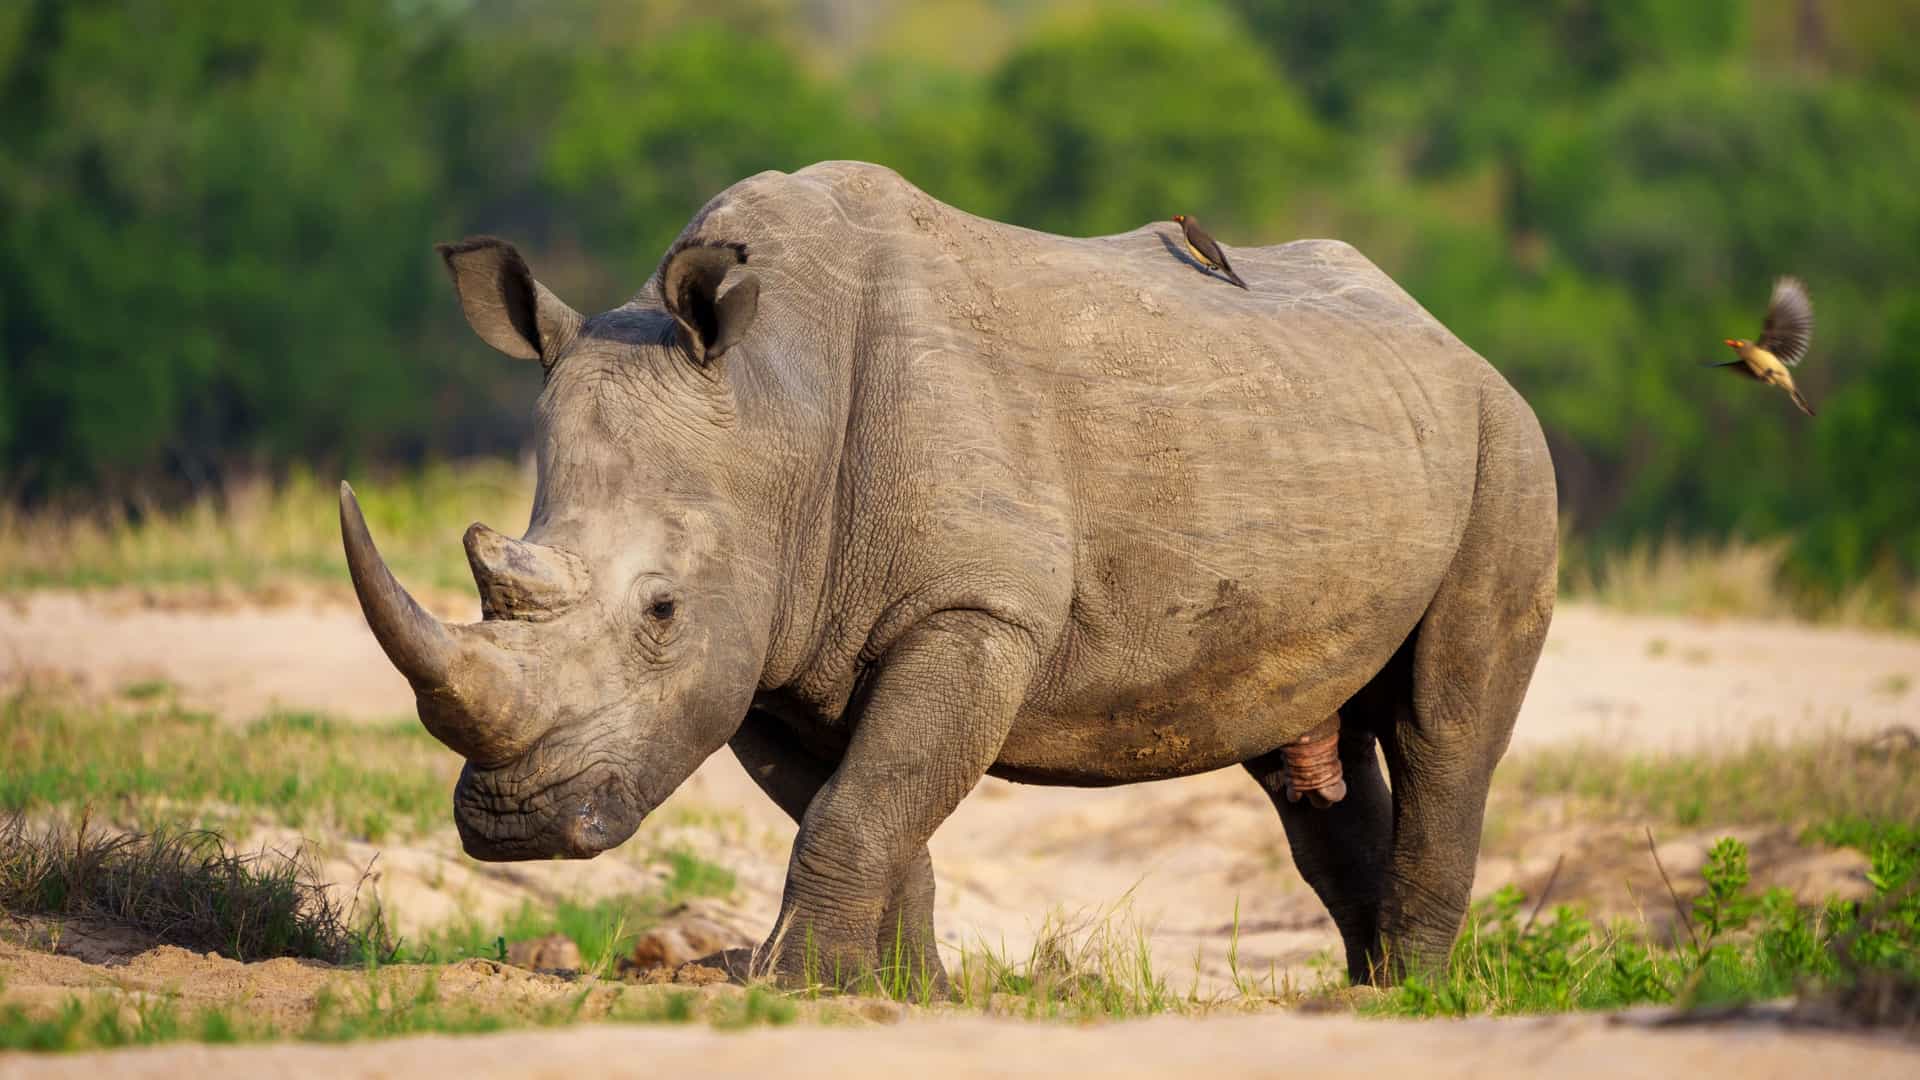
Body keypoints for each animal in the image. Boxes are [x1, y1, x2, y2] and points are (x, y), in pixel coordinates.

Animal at [340, 161, 1557, 989]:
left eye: (661, 610)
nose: (515, 826)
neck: (774, 405)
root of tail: (1444, 333)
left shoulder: (973, 610)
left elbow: (864, 798)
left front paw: (794, 985)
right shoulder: (773, 644)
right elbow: (865, 802)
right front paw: (888, 991)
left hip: (1505, 444)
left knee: (1447, 732)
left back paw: (1414, 1000)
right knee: (1305, 758)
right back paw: (1364, 990)